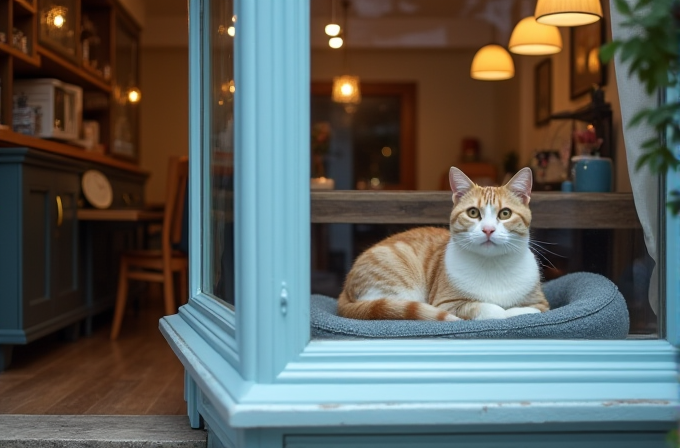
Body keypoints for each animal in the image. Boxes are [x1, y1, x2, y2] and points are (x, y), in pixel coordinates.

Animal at [338, 166, 548, 320]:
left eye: (505, 213)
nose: (488, 229)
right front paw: (507, 312)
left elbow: (532, 309)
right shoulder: (446, 303)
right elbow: (494, 310)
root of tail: (345, 288)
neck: (492, 265)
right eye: (473, 212)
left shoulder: (542, 303)